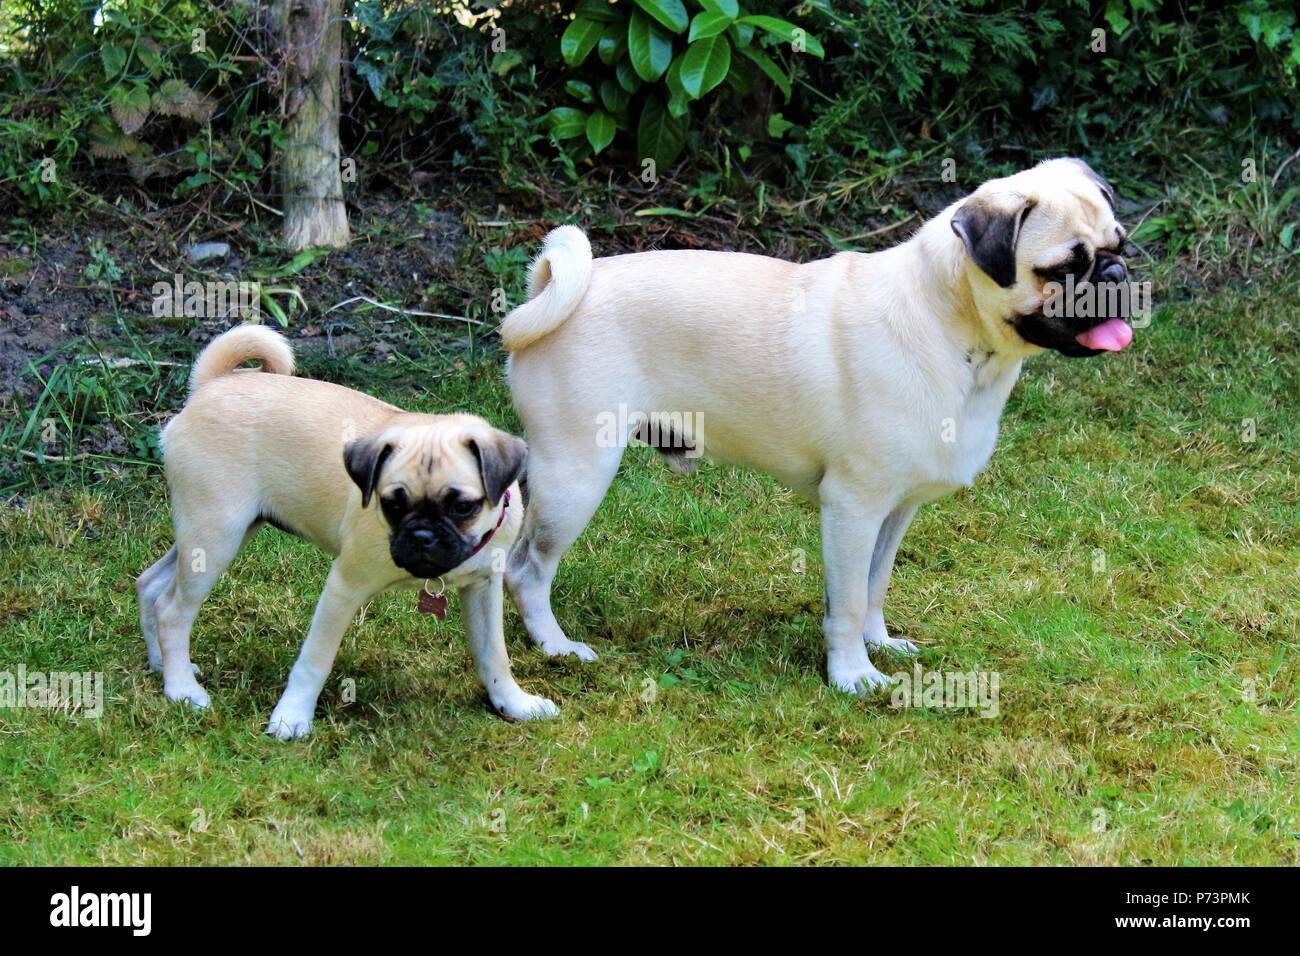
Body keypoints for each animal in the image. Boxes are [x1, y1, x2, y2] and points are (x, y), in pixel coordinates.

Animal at [138, 323, 559, 738]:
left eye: (462, 507)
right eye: (392, 505)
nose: (422, 536)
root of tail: (210, 385)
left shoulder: (484, 586)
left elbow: (493, 655)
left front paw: (513, 703)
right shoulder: (343, 586)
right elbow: (315, 660)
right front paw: (292, 716)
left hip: (221, 533)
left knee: (152, 585)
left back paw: (164, 667)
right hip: (216, 535)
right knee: (173, 610)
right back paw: (182, 690)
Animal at [501, 157, 1133, 697]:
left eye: (1121, 245)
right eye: (1063, 269)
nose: (1117, 274)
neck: (952, 328)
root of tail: (556, 290)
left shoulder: (893, 511)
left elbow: (873, 586)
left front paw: (879, 644)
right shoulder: (854, 505)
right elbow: (848, 601)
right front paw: (853, 674)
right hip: (578, 474)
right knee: (527, 569)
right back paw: (556, 647)